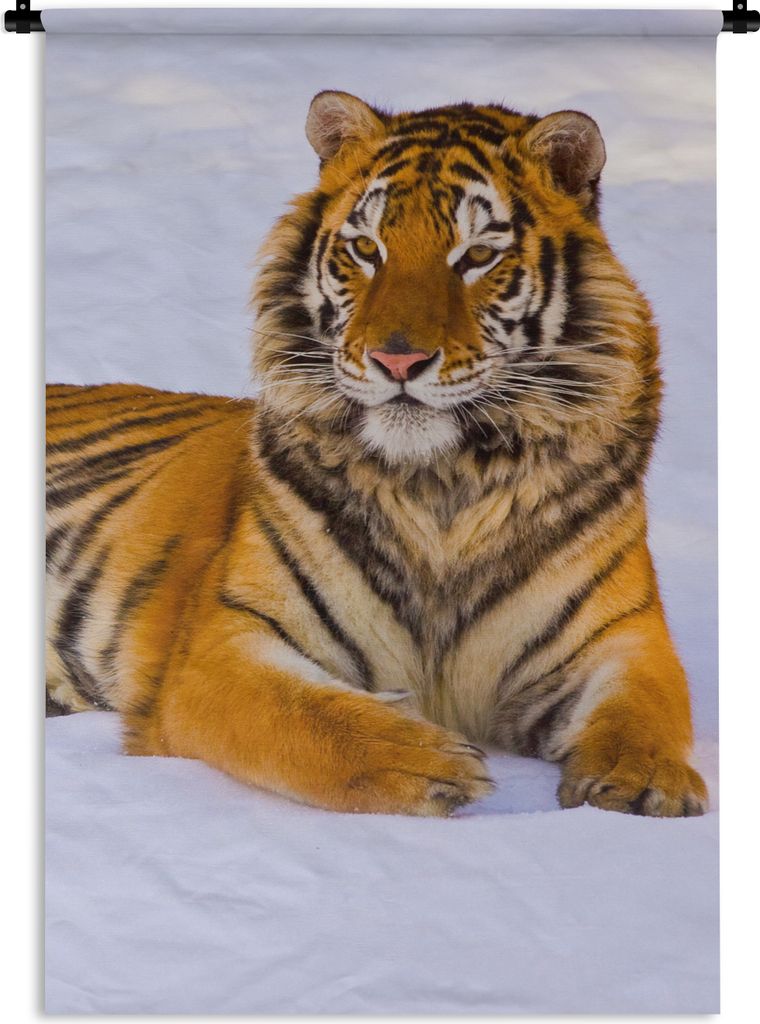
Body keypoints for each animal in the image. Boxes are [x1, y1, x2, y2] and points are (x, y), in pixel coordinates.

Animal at [45, 92, 708, 818]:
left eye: (477, 255)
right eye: (366, 248)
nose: (397, 360)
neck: (444, 483)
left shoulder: (624, 636)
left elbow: (646, 710)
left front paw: (643, 782)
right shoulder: (225, 639)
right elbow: (300, 715)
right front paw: (428, 761)